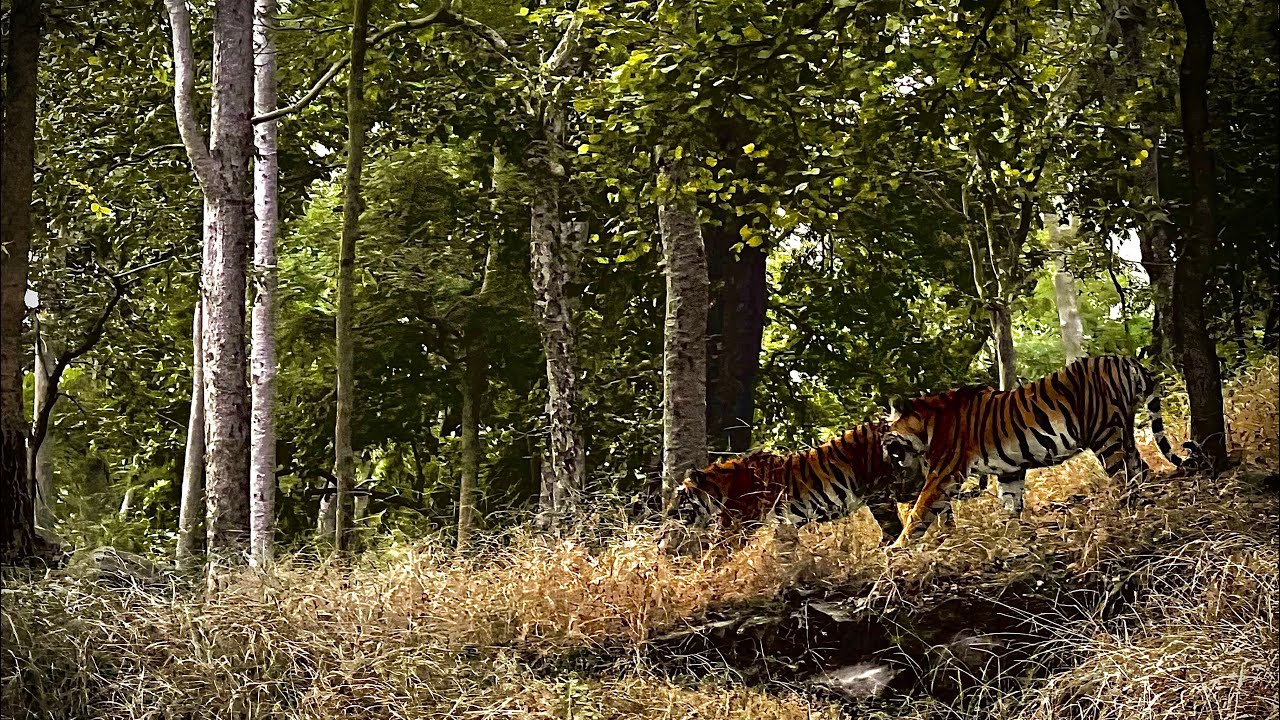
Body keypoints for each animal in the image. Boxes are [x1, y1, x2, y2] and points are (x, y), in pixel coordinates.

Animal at [660, 422, 921, 552]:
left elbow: (716, 554)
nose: (668, 513)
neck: (721, 486)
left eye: (679, 497)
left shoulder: (736, 525)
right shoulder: (785, 524)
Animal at [881, 355, 1188, 549]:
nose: (883, 449)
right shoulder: (1009, 471)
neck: (927, 425)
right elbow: (1010, 504)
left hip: (1105, 434)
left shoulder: (944, 471)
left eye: (885, 431)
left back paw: (1121, 511)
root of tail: (1125, 360)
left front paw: (895, 548)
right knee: (1139, 467)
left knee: (1124, 473)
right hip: (1124, 429)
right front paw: (1010, 536)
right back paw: (1145, 504)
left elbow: (919, 511)